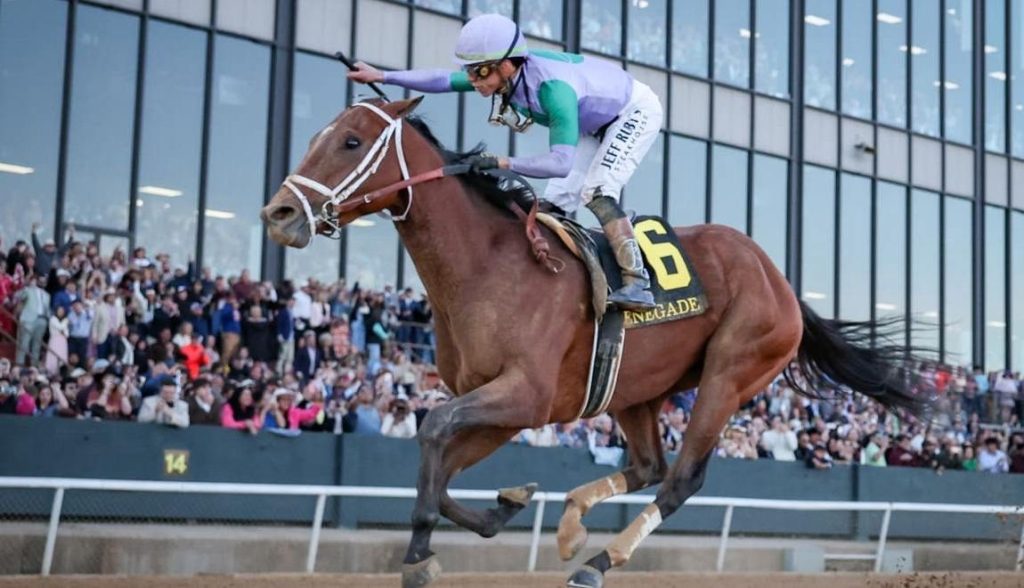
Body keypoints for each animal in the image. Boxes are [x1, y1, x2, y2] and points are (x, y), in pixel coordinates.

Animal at [260, 97, 925, 588]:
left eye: (350, 141)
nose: (278, 214)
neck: (486, 265)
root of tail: (780, 280)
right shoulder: (504, 405)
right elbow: (440, 461)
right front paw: (504, 506)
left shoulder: (524, 395)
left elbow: (432, 431)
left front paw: (420, 555)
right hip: (636, 389)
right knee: (648, 463)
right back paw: (572, 524)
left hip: (731, 373)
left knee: (680, 478)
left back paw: (597, 563)